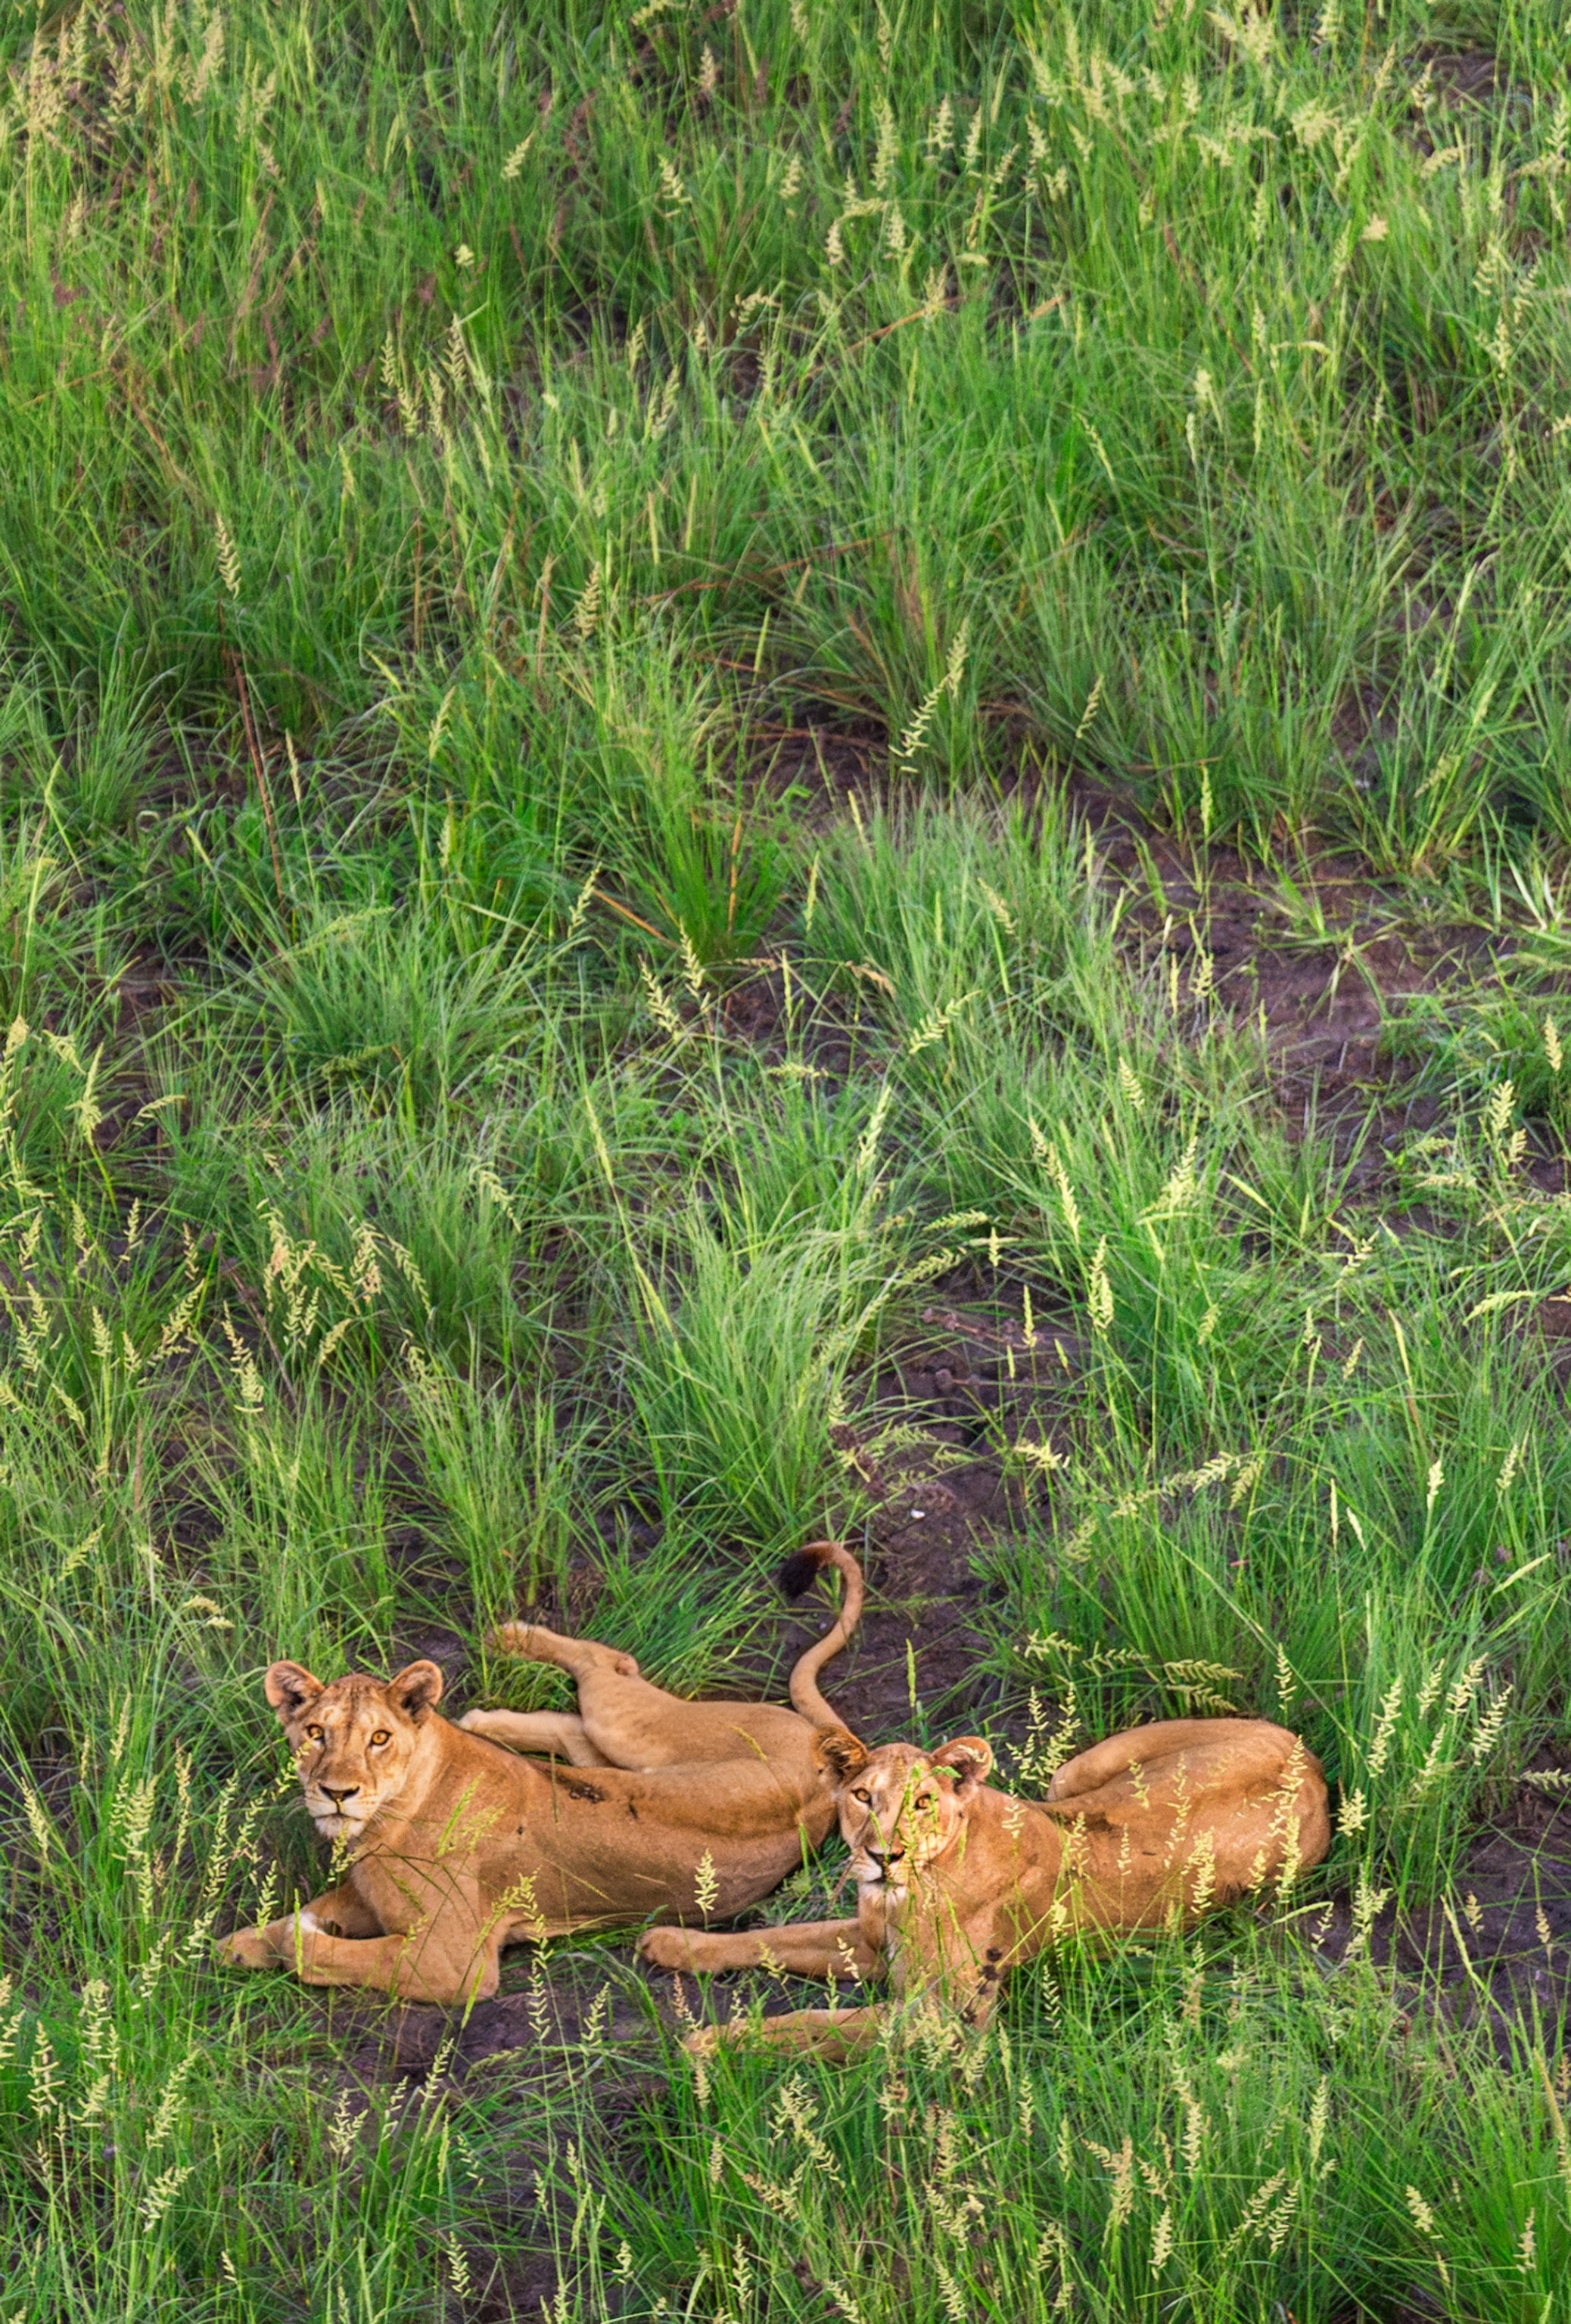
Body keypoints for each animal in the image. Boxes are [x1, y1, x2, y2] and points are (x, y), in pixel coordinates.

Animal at [217, 1541, 862, 2005]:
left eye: (379, 1738)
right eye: (315, 1734)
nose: (336, 1792)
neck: (387, 1816)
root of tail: (825, 1760)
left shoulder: (452, 1964)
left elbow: (320, 1952)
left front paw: (290, 1940)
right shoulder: (369, 1894)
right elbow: (300, 1915)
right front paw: (238, 1944)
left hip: (634, 1726)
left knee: (609, 1666)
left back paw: (510, 1637)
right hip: (627, 1758)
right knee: (579, 1729)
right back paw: (486, 1714)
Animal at [640, 1715, 1331, 2058]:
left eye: (922, 1802)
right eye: (863, 1796)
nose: (883, 1856)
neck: (905, 1893)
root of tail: (1316, 1768)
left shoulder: (944, 2018)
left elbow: (810, 2022)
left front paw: (708, 2043)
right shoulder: (868, 1943)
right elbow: (774, 1938)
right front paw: (671, 1943)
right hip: (1067, 1780)